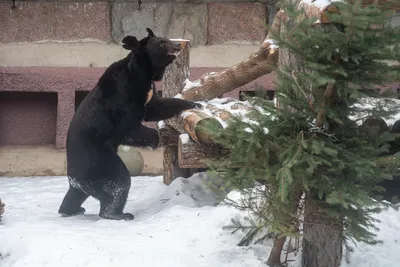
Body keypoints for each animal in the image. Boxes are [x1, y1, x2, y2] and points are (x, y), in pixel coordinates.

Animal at [57, 28, 202, 221]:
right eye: (162, 43)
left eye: (166, 39)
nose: (178, 44)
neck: (142, 74)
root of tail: (75, 179)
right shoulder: (121, 100)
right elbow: (128, 129)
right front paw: (160, 137)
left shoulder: (145, 94)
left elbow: (156, 107)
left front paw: (195, 104)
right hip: (100, 161)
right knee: (118, 181)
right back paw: (119, 214)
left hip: (85, 177)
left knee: (75, 195)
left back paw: (71, 210)